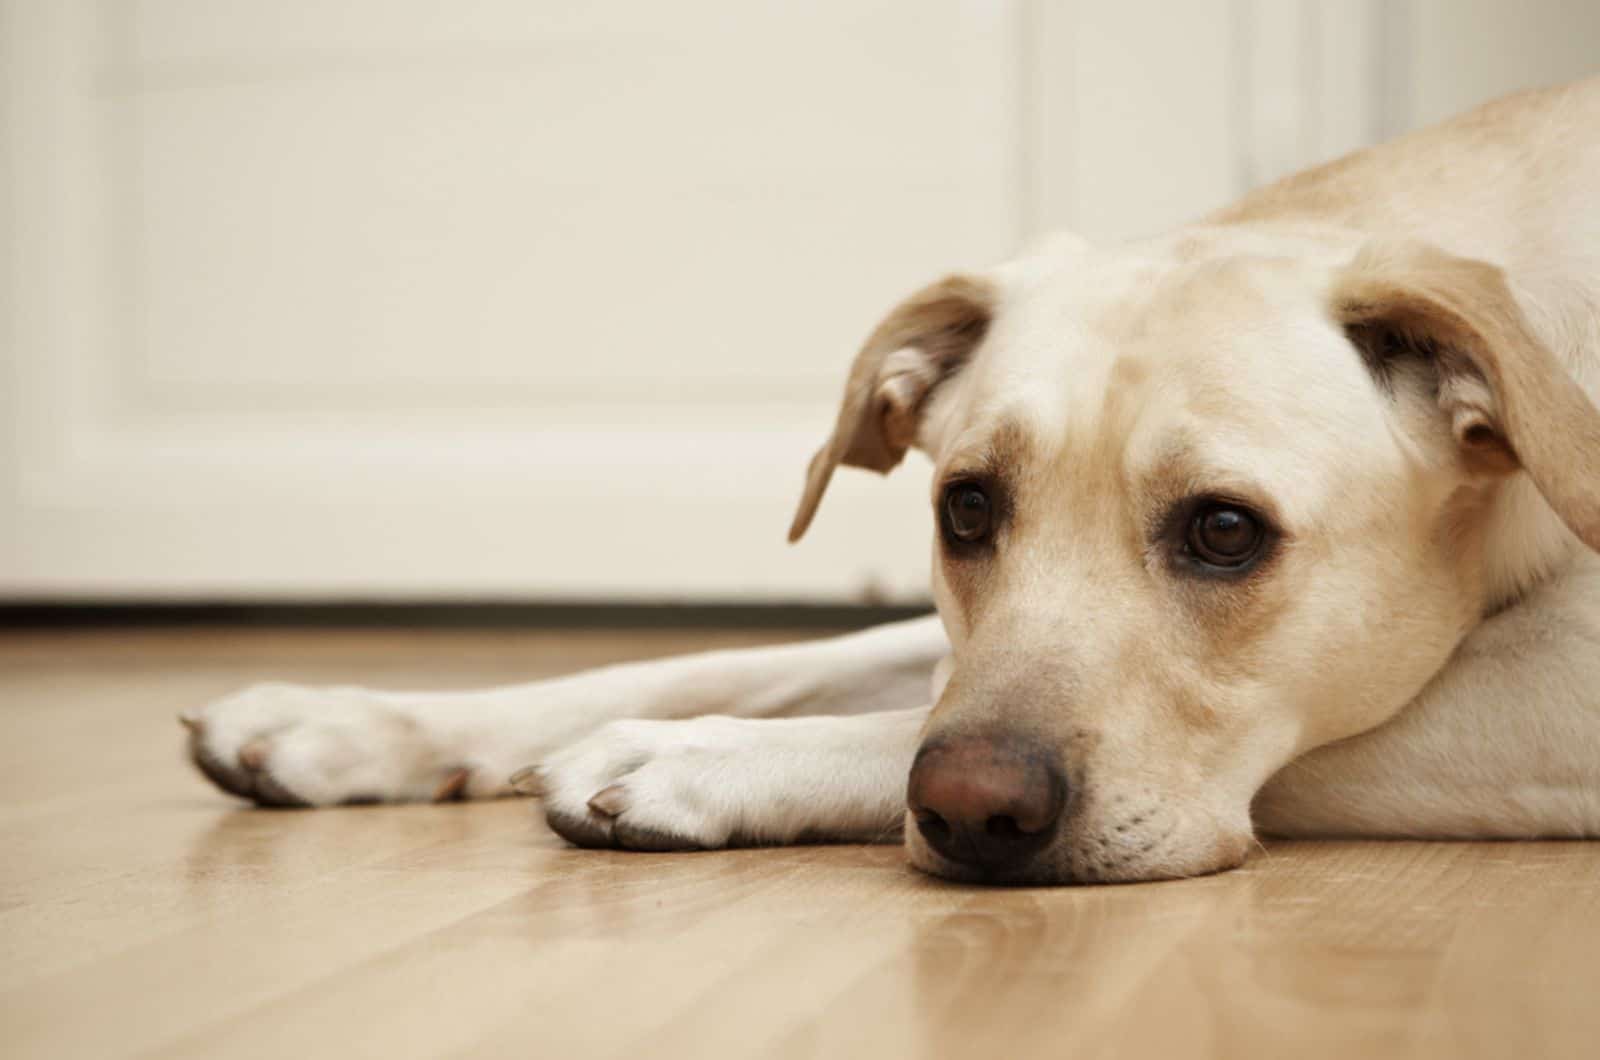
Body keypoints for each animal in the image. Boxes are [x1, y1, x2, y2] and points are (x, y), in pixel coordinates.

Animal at [184, 78, 1600, 883]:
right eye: (965, 508)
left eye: (1222, 531)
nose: (969, 810)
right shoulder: (948, 634)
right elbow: (724, 662)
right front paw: (348, 719)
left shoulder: (1548, 692)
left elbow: (879, 722)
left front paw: (691, 759)